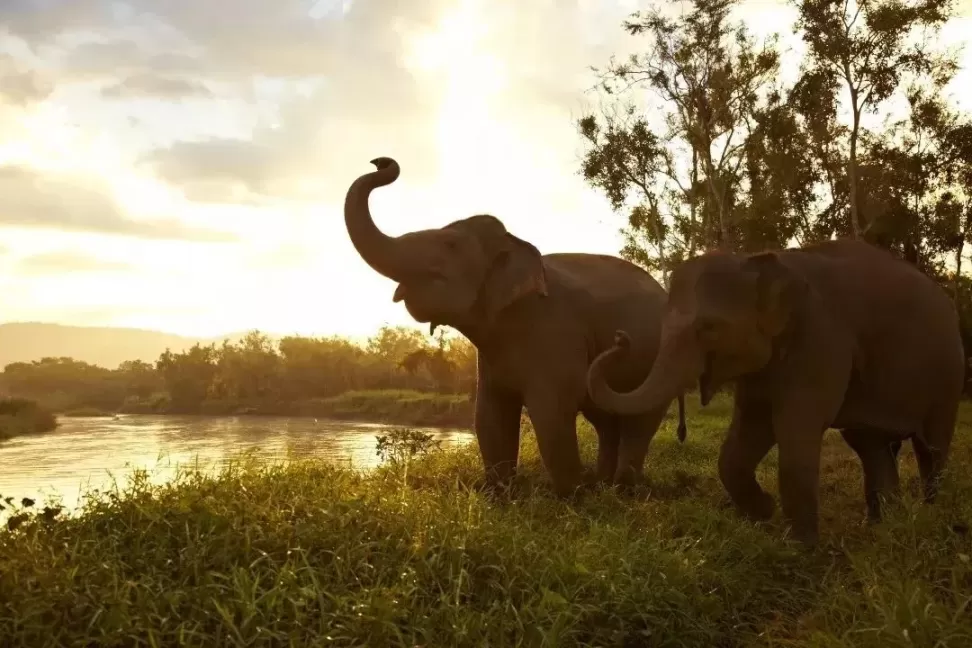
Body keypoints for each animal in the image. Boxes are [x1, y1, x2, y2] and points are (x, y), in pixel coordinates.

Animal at [346, 157, 688, 496]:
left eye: (450, 244)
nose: (380, 162)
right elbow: (489, 413)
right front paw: (499, 493)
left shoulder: (554, 331)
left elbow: (551, 410)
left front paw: (570, 495)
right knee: (606, 419)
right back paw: (603, 483)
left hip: (658, 358)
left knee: (638, 420)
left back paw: (622, 488)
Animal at [584, 240, 964, 544]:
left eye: (708, 328)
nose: (620, 338)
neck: (757, 258)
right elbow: (747, 433)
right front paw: (764, 513)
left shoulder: (820, 340)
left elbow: (795, 430)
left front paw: (801, 549)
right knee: (871, 445)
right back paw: (881, 529)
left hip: (947, 376)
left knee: (931, 449)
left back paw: (930, 519)